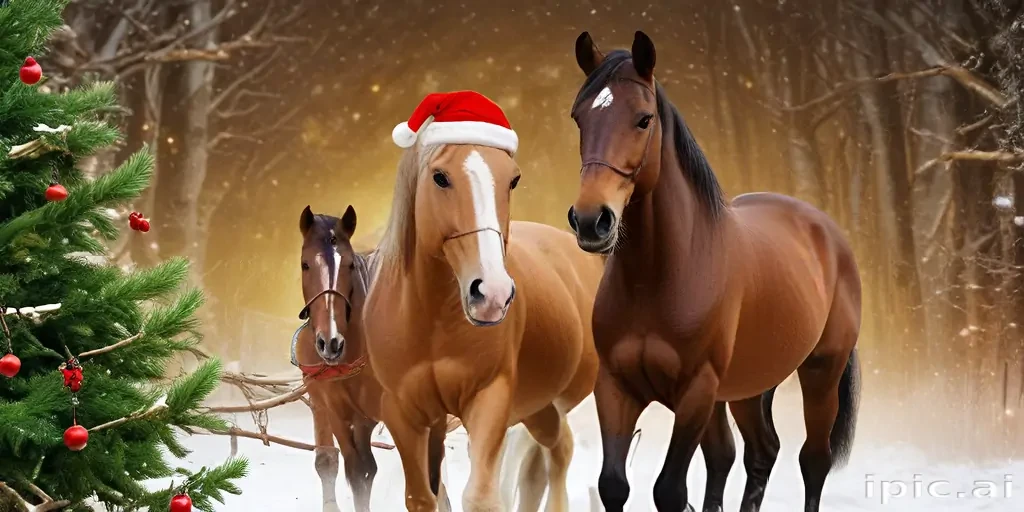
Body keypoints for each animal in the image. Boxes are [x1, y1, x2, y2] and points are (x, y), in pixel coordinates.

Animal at [363, 123, 606, 511]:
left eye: (513, 180)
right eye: (440, 177)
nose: (492, 294)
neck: (434, 324)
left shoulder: (489, 400)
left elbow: (480, 496)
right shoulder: (403, 412)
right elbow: (422, 496)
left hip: (549, 404)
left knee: (558, 455)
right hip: (537, 410)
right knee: (542, 464)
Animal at [566, 31, 863, 512]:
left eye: (644, 119)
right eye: (579, 118)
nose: (592, 220)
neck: (659, 276)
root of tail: (828, 232)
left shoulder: (696, 392)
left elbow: (670, 490)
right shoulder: (615, 387)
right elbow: (614, 484)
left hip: (821, 372)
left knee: (812, 460)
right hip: (747, 386)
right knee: (758, 452)